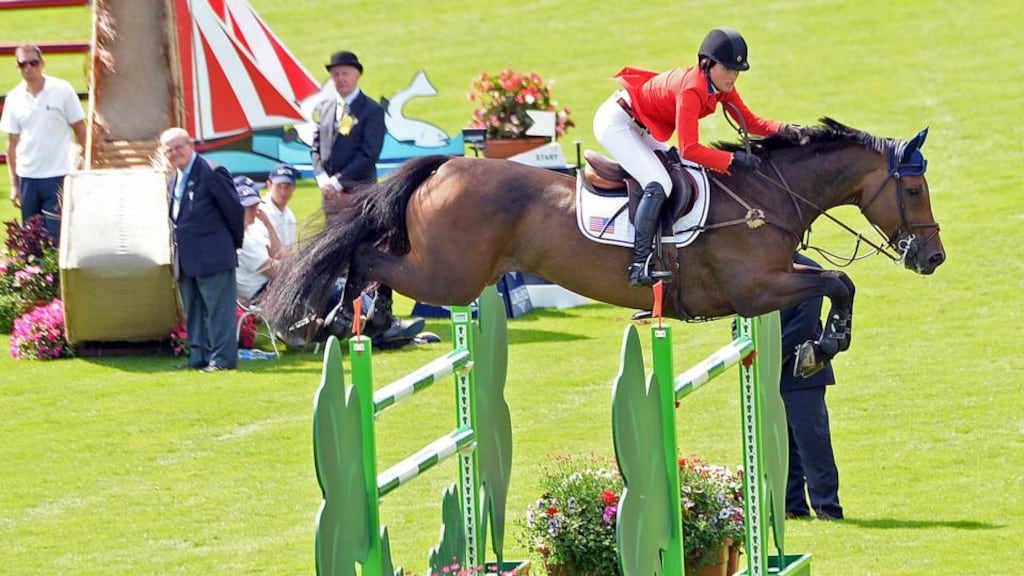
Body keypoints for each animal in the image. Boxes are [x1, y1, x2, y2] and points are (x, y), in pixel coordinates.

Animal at [263, 118, 945, 374]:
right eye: (914, 189)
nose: (932, 258)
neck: (766, 196)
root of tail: (448, 165)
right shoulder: (756, 290)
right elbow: (838, 281)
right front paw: (822, 347)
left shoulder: (773, 280)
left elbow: (836, 283)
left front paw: (818, 345)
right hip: (449, 276)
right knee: (369, 256)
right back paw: (342, 318)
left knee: (378, 254)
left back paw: (365, 318)